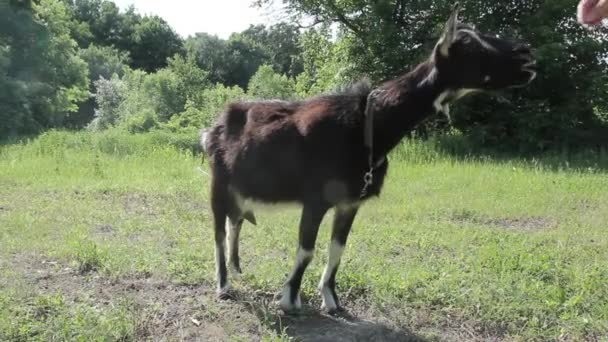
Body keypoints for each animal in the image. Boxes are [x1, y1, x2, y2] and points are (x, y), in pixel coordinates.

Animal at [202, 5, 536, 314]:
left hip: (241, 190)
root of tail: (214, 126)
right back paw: (223, 286)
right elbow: (306, 250)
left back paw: (236, 269)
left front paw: (331, 301)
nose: (527, 54)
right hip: (219, 184)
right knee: (218, 231)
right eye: (469, 44)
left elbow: (337, 249)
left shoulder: (350, 203)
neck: (368, 127)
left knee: (235, 223)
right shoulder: (316, 199)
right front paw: (289, 300)